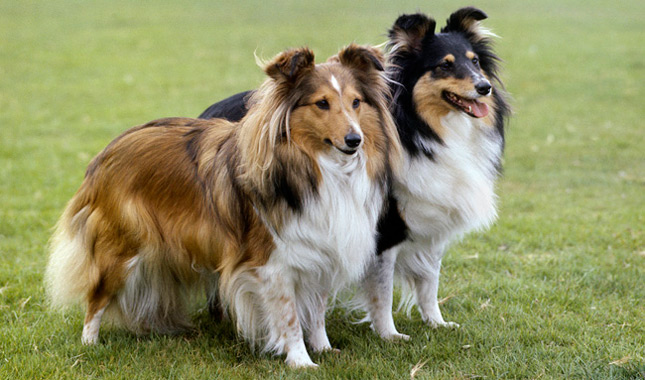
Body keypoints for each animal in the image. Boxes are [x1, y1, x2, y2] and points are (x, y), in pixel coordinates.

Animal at [45, 44, 400, 368]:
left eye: (356, 102)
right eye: (322, 103)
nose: (355, 140)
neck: (314, 168)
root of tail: (107, 151)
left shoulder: (322, 248)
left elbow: (316, 310)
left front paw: (323, 349)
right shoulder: (272, 263)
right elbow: (288, 316)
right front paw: (301, 361)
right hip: (121, 249)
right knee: (96, 298)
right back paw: (89, 344)